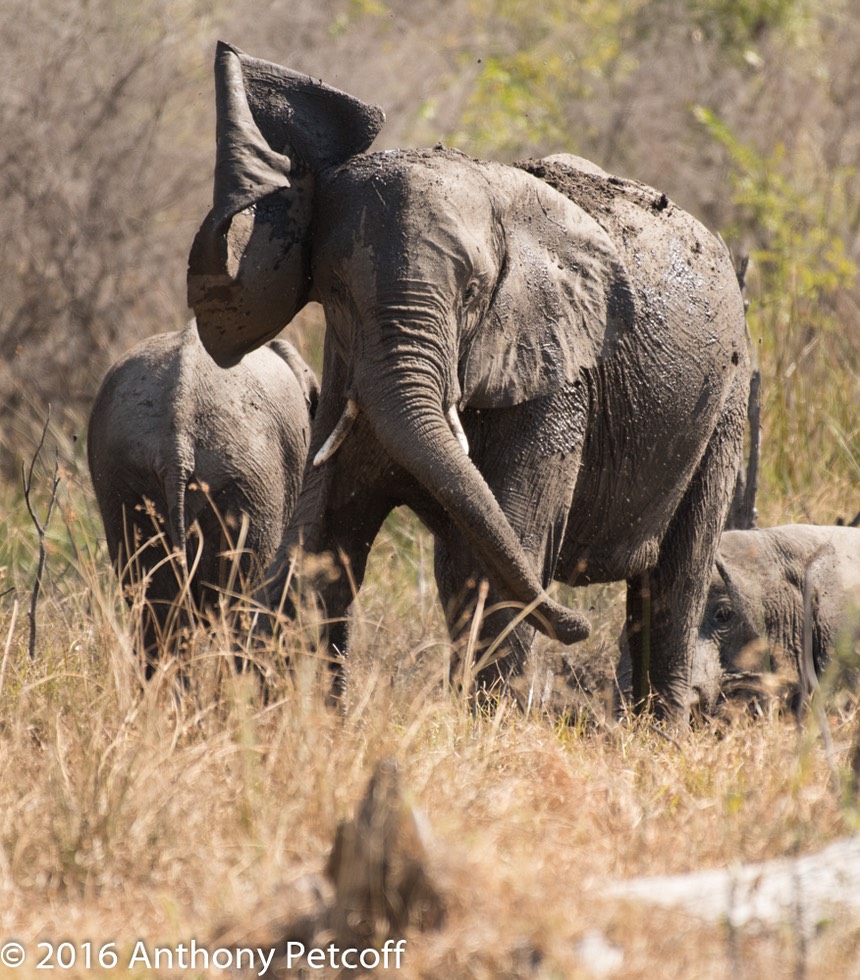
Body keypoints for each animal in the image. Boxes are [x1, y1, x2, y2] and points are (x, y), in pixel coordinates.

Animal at [185, 42, 748, 716]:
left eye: (475, 293)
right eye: (336, 293)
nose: (578, 625)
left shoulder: (556, 384)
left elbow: (506, 552)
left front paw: (483, 725)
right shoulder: (346, 375)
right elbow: (322, 544)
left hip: (726, 399)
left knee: (675, 579)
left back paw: (657, 731)